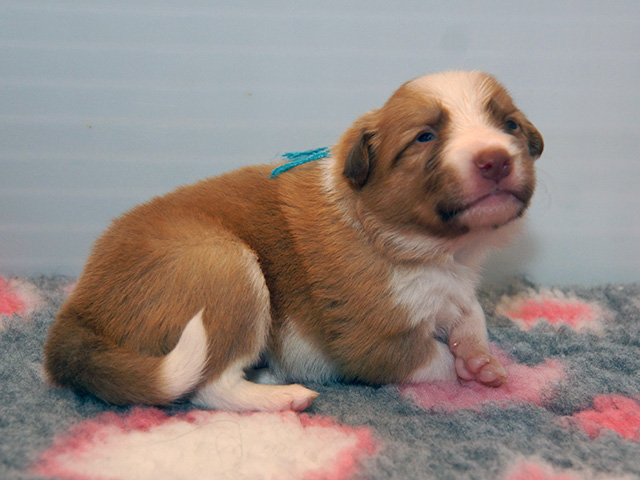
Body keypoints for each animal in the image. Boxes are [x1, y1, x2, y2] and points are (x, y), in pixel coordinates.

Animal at [44, 71, 543, 412]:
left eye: (510, 126)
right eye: (424, 137)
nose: (495, 160)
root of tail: (78, 311)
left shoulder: (455, 287)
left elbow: (472, 314)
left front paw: (481, 360)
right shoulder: (373, 341)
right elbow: (434, 359)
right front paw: (466, 371)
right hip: (226, 269)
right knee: (207, 385)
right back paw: (283, 398)